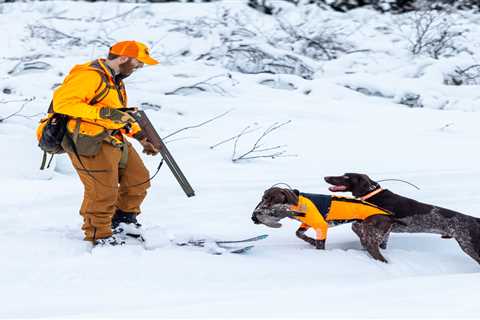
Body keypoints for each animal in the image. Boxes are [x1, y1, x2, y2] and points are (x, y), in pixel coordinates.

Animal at [326, 174, 480, 264]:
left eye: (346, 177)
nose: (326, 177)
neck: (372, 194)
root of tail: (474, 219)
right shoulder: (384, 232)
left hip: (470, 246)